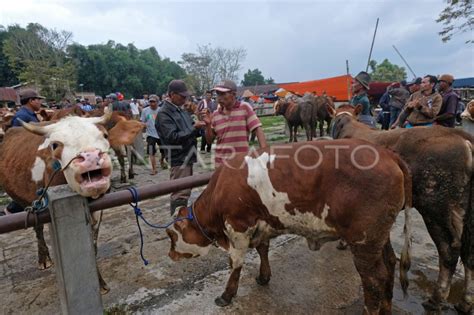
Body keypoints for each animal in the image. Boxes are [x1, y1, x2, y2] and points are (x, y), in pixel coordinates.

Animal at [0, 113, 143, 294]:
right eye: (55, 145)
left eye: (105, 135)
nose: (91, 157)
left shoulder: (98, 211)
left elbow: (93, 246)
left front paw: (99, 282)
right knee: (37, 227)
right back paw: (43, 259)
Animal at [166, 141, 412, 315]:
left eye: (170, 234)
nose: (170, 255)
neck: (220, 187)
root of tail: (387, 154)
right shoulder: (262, 222)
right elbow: (263, 249)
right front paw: (263, 276)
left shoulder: (238, 226)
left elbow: (235, 263)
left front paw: (227, 295)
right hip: (379, 236)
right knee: (390, 263)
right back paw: (387, 307)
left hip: (364, 240)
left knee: (374, 280)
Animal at [326, 104, 474, 314]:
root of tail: (462, 137)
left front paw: (342, 242)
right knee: (470, 251)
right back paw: (465, 302)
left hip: (436, 207)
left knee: (449, 250)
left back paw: (436, 298)